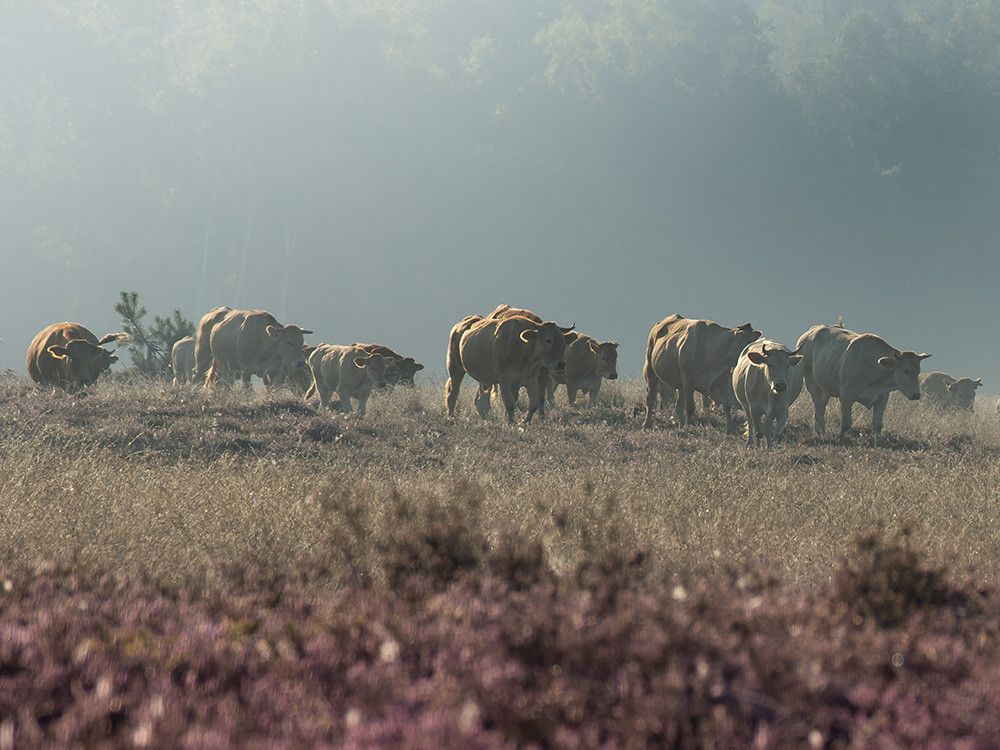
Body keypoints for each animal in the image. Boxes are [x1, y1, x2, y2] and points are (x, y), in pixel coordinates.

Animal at [444, 314, 576, 426]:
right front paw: (511, 423)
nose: (561, 364)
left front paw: (525, 422)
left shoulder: (531, 379)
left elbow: (534, 404)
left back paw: (486, 420)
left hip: (483, 377)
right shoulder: (504, 378)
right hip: (455, 367)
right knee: (453, 393)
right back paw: (450, 418)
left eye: (563, 342)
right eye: (548, 340)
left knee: (480, 401)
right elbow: (510, 404)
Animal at [796, 324, 928, 446]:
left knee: (820, 409)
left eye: (918, 371)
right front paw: (838, 439)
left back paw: (818, 433)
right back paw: (823, 435)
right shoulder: (846, 395)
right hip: (811, 383)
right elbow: (846, 423)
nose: (916, 395)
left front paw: (878, 444)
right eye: (905, 370)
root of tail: (811, 331)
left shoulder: (882, 398)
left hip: (825, 389)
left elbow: (878, 425)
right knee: (819, 410)